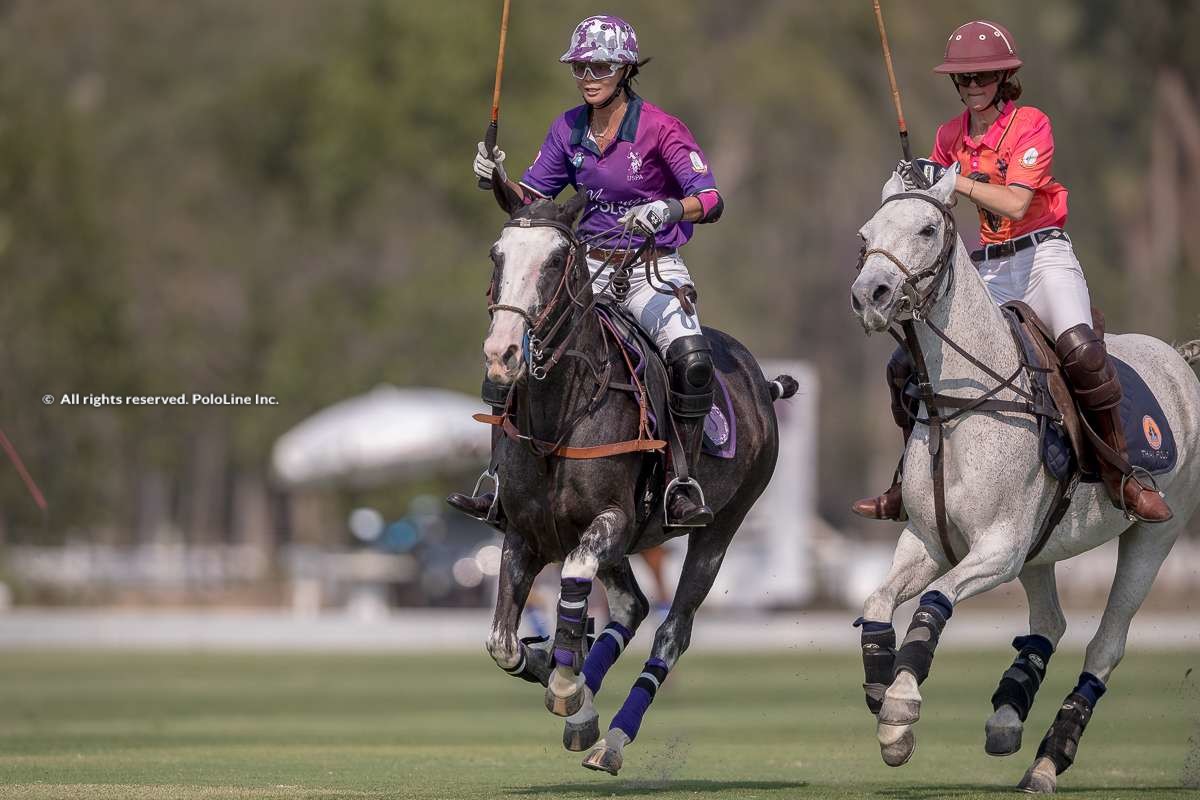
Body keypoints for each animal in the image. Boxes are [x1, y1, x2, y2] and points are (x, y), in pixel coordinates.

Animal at [477, 189, 796, 777]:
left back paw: (613, 740)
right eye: (497, 255)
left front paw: (567, 686)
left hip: (721, 527)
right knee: (633, 606)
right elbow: (503, 644)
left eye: (556, 261)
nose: (502, 354)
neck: (561, 413)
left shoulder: (613, 519)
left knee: (671, 630)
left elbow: (574, 578)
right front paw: (567, 688)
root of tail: (761, 382)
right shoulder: (524, 532)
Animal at [849, 170, 1200, 796]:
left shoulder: (999, 547)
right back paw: (1008, 714)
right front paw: (879, 688)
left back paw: (1047, 760)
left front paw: (900, 709)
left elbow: (934, 603)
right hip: (1043, 545)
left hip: (1157, 532)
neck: (957, 405)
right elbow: (877, 599)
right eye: (865, 234)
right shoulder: (927, 540)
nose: (871, 296)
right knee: (1050, 623)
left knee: (1106, 643)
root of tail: (1180, 360)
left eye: (928, 228)